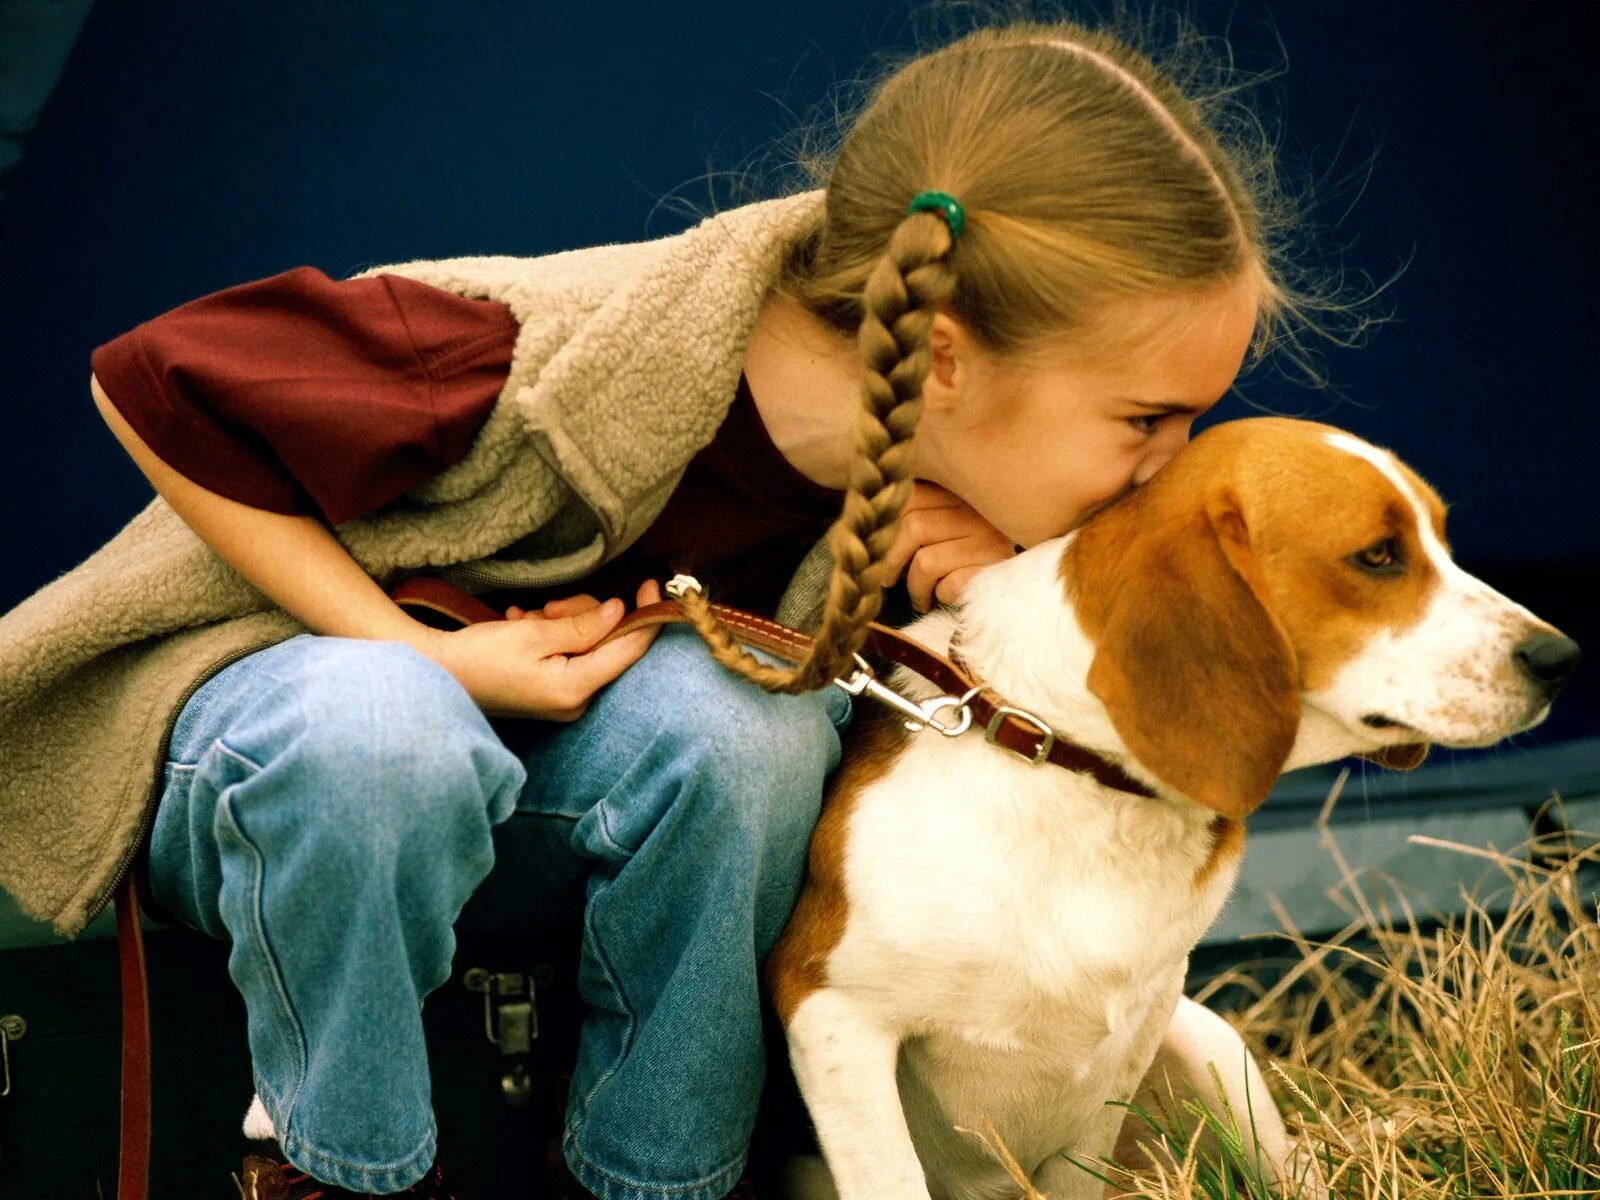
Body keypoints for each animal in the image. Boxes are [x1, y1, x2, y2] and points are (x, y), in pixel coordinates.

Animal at [768, 419, 1580, 1196]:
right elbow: (890, 1177)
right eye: (1378, 555)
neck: (1067, 769)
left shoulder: (1131, 1040)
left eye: (1442, 541)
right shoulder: (833, 1017)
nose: (1561, 659)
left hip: (1211, 1046)